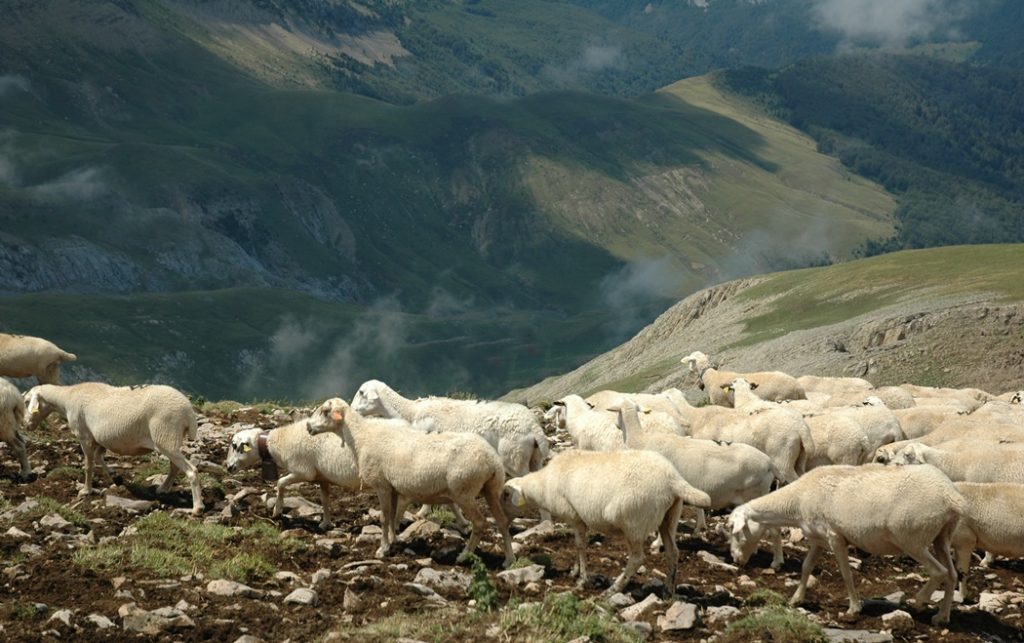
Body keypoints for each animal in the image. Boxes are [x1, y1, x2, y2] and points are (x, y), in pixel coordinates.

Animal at [24, 380, 203, 511]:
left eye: (26, 402)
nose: (26, 424)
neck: (66, 399)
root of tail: (188, 411)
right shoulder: (100, 439)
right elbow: (98, 457)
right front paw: (115, 476)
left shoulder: (85, 436)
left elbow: (88, 465)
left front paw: (86, 490)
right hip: (170, 439)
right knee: (175, 466)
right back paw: (163, 489)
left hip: (165, 437)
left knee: (191, 470)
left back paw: (197, 508)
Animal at [227, 419, 360, 528]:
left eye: (235, 446)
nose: (228, 467)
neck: (280, 442)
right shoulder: (322, 477)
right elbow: (324, 499)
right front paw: (326, 523)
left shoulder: (304, 471)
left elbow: (280, 483)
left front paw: (277, 510)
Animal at [301, 397, 512, 569]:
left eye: (325, 411)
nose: (308, 426)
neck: (361, 437)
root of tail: (492, 459)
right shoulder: (392, 487)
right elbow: (394, 515)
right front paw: (394, 541)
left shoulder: (381, 485)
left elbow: (384, 518)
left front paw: (383, 548)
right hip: (491, 489)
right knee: (502, 522)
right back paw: (509, 560)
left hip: (464, 491)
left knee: (480, 523)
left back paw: (464, 555)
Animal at [499, 446, 708, 593]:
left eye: (505, 495)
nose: (501, 520)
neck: (543, 485)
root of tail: (673, 478)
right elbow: (577, 546)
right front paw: (575, 570)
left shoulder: (575, 517)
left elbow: (580, 545)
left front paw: (582, 578)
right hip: (670, 517)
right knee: (673, 552)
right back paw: (668, 590)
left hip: (634, 522)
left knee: (637, 559)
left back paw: (614, 589)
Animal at [733, 464, 962, 626]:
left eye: (733, 531)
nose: (736, 559)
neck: (797, 500)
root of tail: (950, 496)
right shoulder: (818, 539)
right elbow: (806, 567)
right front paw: (796, 599)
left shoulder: (835, 537)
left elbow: (846, 573)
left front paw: (853, 608)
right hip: (942, 536)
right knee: (952, 575)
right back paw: (942, 617)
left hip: (912, 538)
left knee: (939, 571)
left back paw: (920, 601)